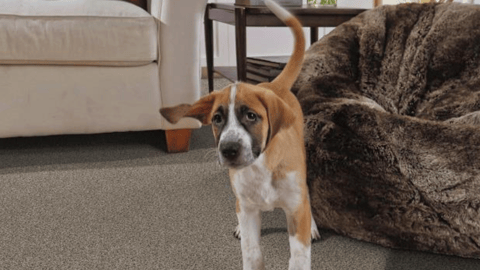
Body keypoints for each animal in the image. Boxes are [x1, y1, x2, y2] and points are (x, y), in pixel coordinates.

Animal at [159, 1, 320, 268]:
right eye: (217, 119)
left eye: (251, 116)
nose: (228, 150)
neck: (261, 166)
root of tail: (272, 85)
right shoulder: (248, 212)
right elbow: (252, 252)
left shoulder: (296, 213)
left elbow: (298, 255)